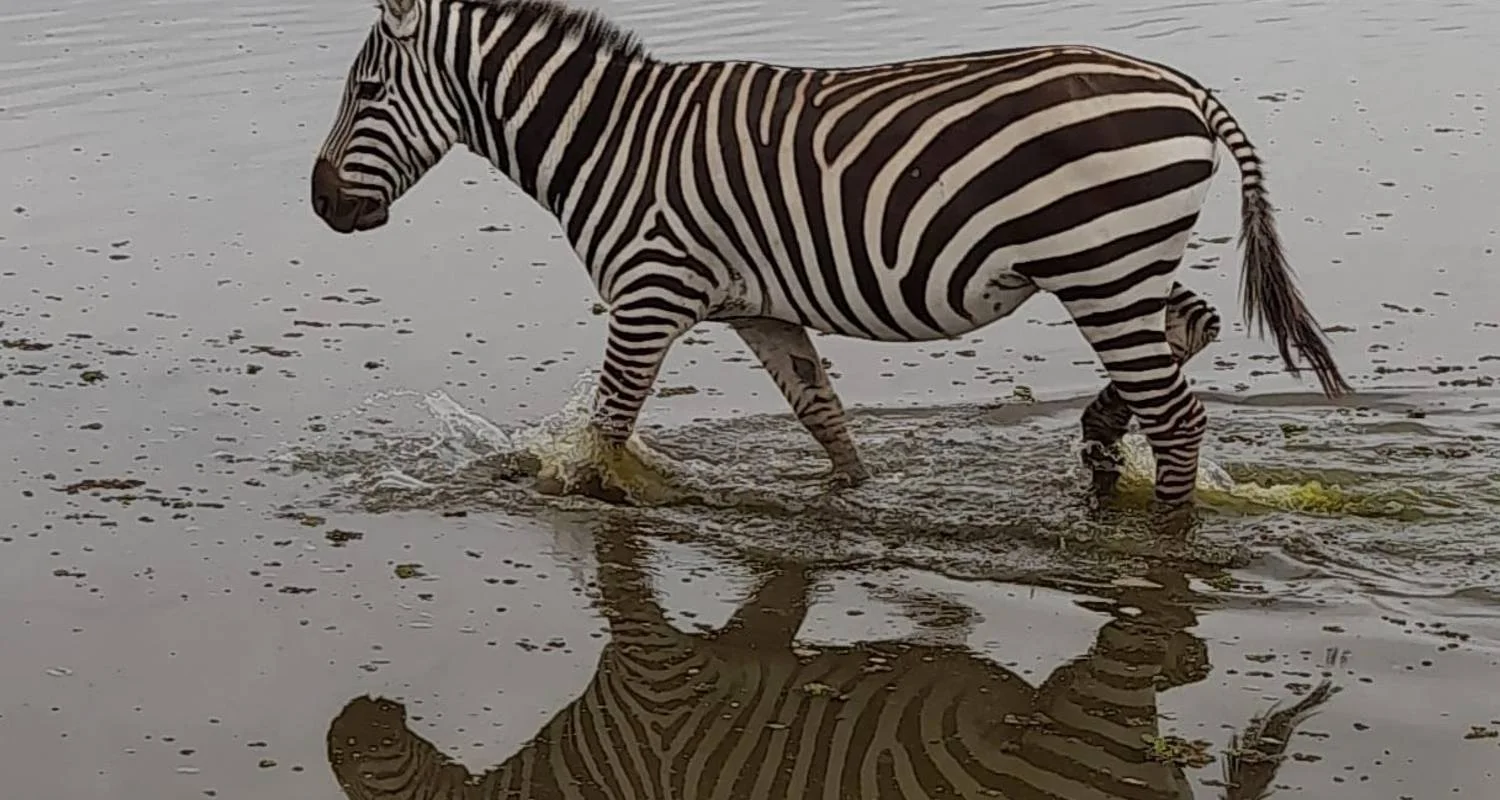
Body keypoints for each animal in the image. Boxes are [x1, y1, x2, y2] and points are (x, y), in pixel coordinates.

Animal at [309, 0, 1352, 518]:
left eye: (366, 93)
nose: (321, 203)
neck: (610, 139)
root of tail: (1181, 86)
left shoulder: (649, 292)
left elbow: (607, 430)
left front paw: (574, 492)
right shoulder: (760, 307)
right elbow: (823, 416)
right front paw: (854, 497)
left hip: (1097, 261)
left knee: (1177, 417)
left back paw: (1161, 531)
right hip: (1120, 264)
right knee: (1189, 327)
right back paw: (1101, 441)